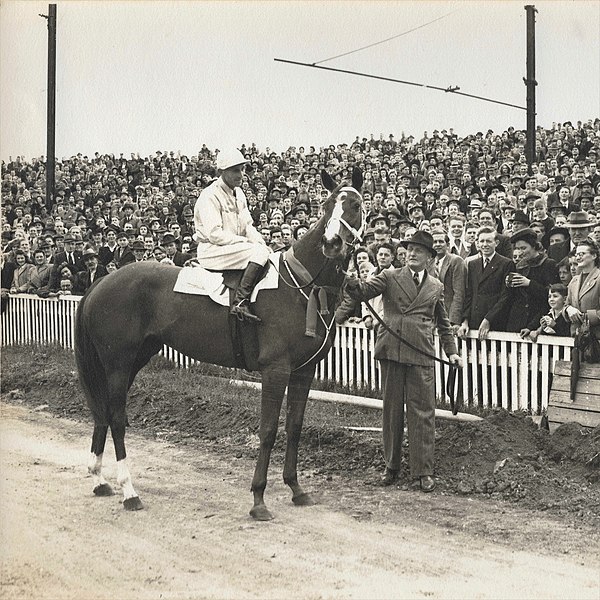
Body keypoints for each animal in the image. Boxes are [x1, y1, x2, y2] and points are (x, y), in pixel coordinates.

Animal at [75, 168, 366, 520]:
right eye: (326, 206)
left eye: (355, 204)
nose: (331, 243)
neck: (302, 285)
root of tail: (103, 280)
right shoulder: (275, 370)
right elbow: (268, 431)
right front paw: (258, 499)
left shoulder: (303, 372)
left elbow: (295, 427)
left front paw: (296, 489)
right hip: (118, 363)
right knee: (116, 418)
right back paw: (129, 491)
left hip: (134, 359)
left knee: (104, 411)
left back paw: (99, 479)